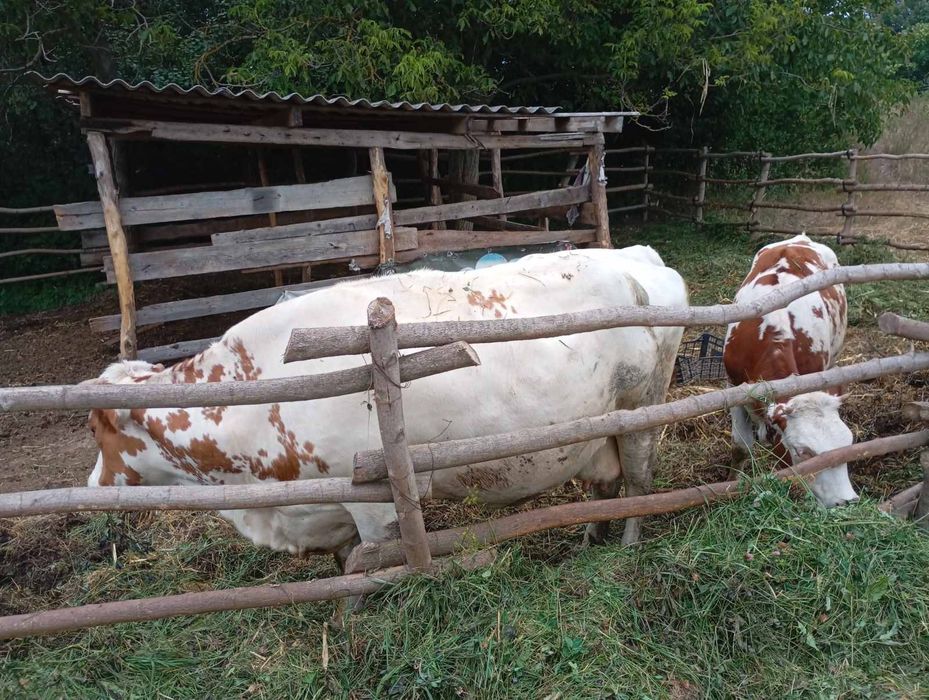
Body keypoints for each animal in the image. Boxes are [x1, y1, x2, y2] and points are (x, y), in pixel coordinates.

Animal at [85, 247, 688, 566]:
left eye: (99, 432)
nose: (92, 485)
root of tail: (635, 256)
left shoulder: (373, 500)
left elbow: (367, 561)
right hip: (597, 430)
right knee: (604, 482)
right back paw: (590, 536)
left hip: (643, 412)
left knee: (639, 483)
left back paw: (627, 546)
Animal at [723, 234, 856, 507]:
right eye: (803, 452)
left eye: (849, 441)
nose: (847, 502)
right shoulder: (733, 388)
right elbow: (741, 447)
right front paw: (733, 482)